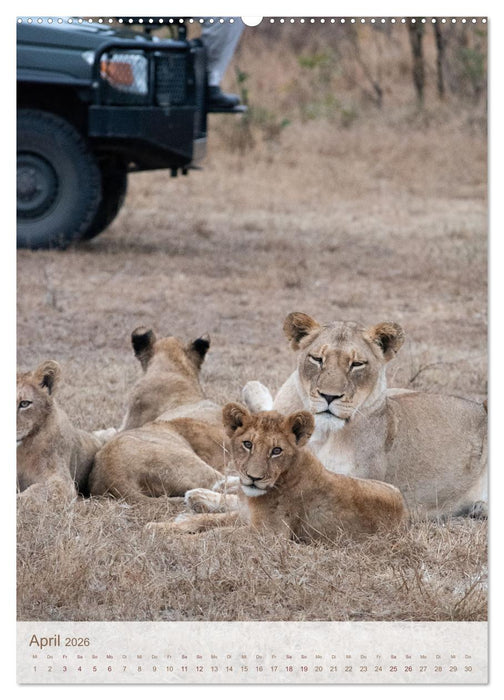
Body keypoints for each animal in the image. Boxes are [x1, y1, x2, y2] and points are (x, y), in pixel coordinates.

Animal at [146, 403, 407, 541]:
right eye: (248, 444)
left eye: (276, 451)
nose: (253, 478)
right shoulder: (246, 516)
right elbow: (207, 522)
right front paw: (161, 528)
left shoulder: (268, 534)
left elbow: (216, 534)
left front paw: (177, 541)